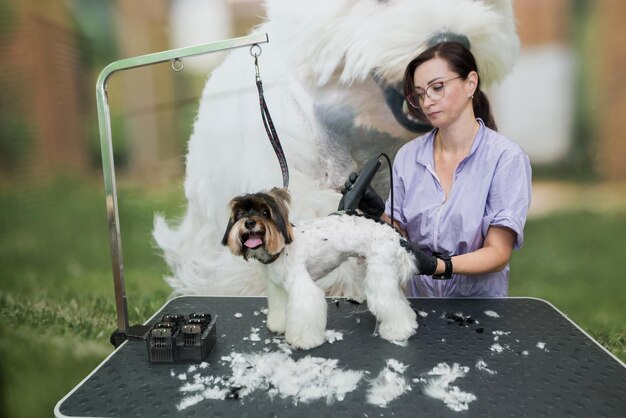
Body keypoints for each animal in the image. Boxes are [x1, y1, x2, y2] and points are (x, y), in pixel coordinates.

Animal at [221, 188, 420, 348]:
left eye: (265, 212)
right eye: (240, 214)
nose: (249, 222)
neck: (282, 247)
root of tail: (394, 233)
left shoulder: (302, 288)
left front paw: (304, 340)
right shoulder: (279, 288)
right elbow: (280, 309)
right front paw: (279, 325)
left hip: (380, 273)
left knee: (391, 305)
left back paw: (399, 331)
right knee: (399, 301)